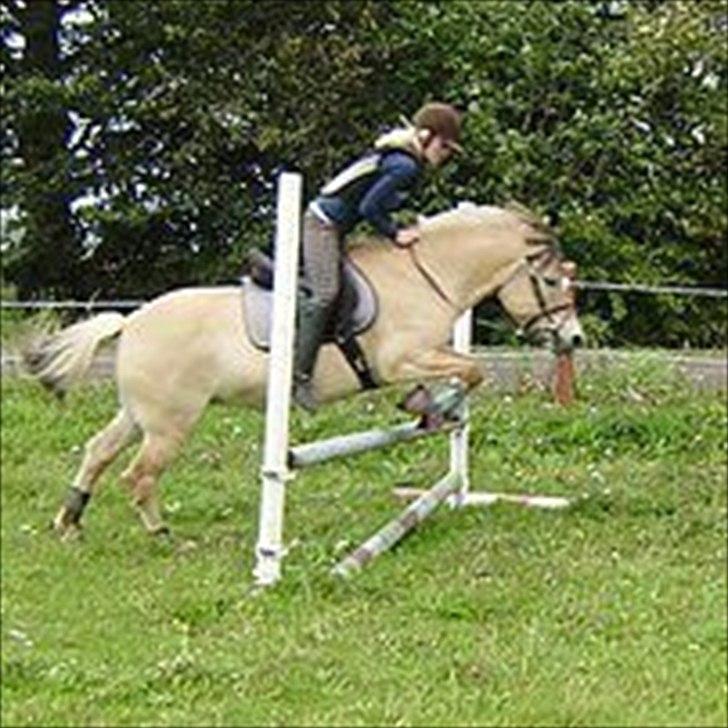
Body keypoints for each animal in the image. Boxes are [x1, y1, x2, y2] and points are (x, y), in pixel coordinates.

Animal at [19, 202, 584, 536]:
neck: (427, 276)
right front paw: (437, 406)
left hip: (139, 414)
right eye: (551, 282)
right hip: (170, 423)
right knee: (138, 474)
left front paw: (428, 406)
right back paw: (162, 535)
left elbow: (462, 371)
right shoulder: (399, 358)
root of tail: (131, 321)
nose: (574, 339)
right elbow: (471, 371)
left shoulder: (421, 354)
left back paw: (69, 521)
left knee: (98, 451)